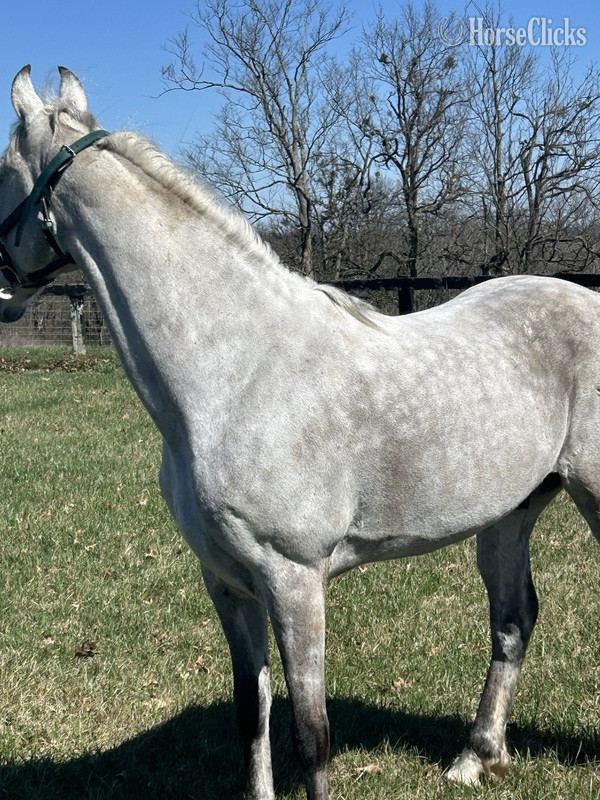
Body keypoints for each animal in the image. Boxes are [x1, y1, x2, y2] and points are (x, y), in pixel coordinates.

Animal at [2, 66, 600, 800]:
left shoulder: (294, 581)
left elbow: (311, 736)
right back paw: (475, 756)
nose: (1, 290)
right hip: (510, 513)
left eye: (0, 171)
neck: (237, 369)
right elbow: (251, 713)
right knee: (513, 621)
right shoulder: (228, 584)